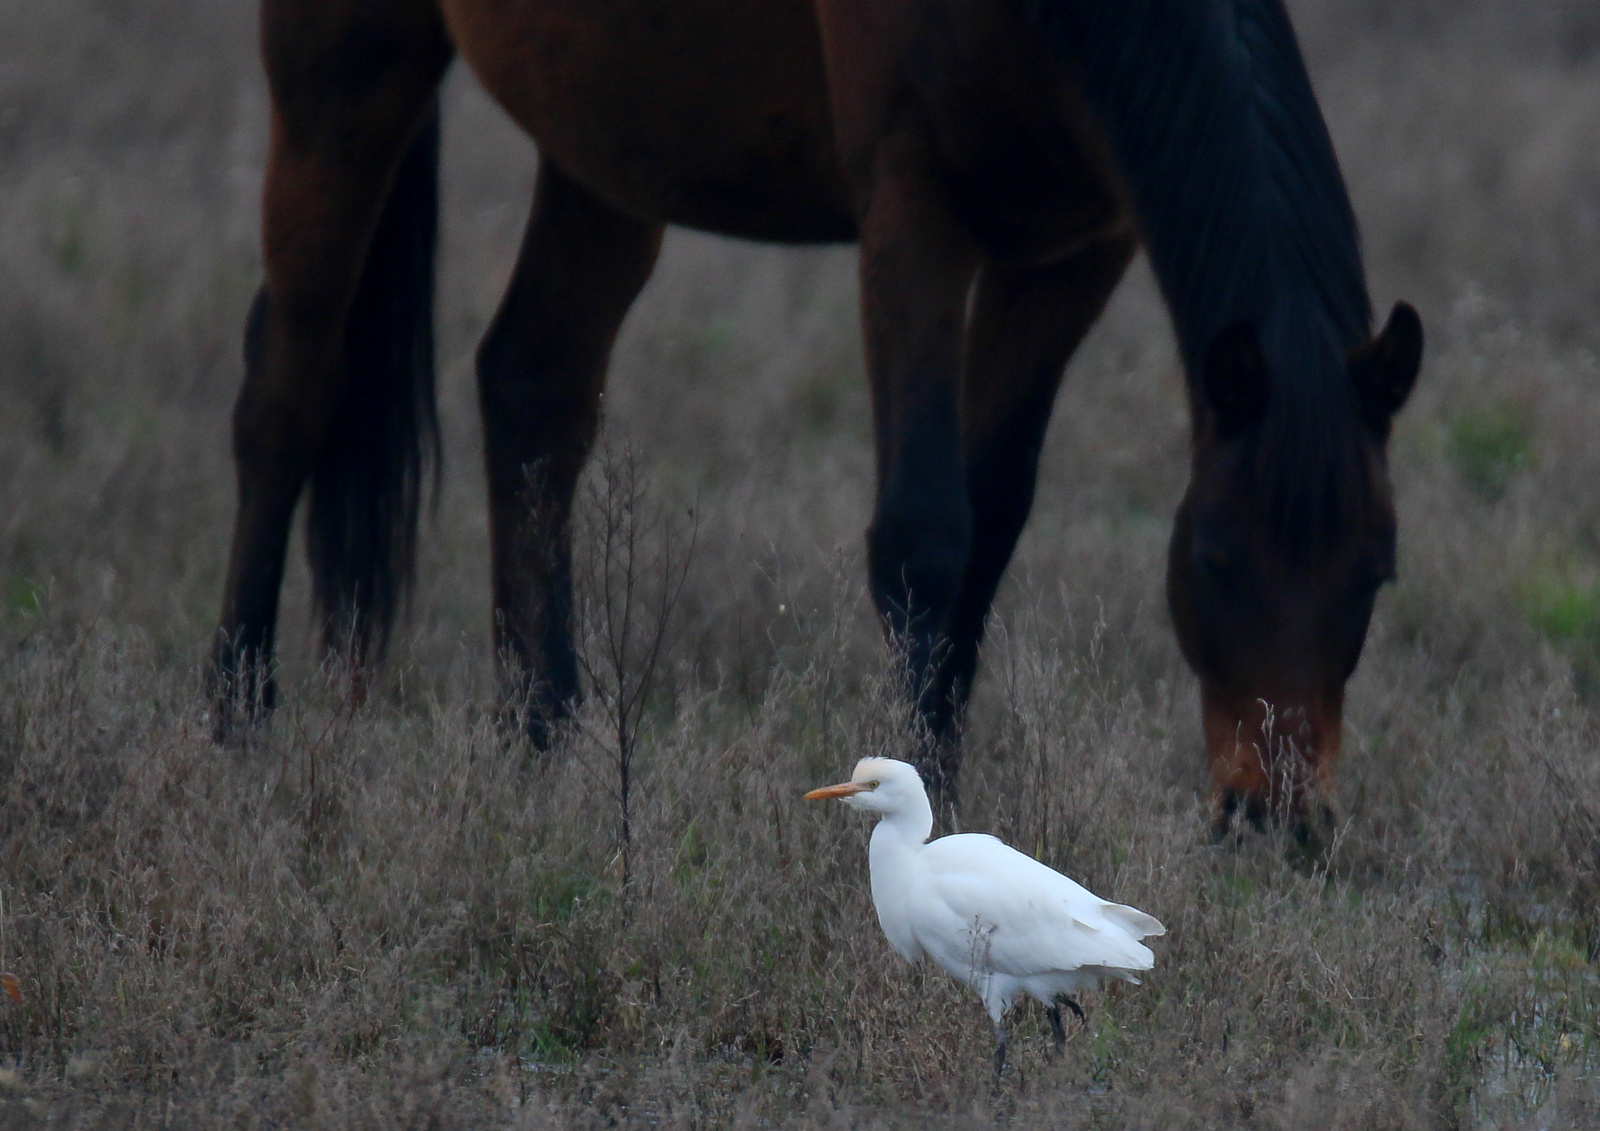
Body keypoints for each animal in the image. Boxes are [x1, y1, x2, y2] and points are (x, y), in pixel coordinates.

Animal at [212, 0, 1427, 825]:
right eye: (1215, 559)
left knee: (532, 388)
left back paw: (543, 735)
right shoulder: (912, 209)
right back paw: (238, 714)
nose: (1275, 816)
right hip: (343, 71)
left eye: (1375, 576)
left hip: (606, 138)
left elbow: (993, 517)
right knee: (286, 389)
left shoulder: (1069, 253)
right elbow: (925, 533)